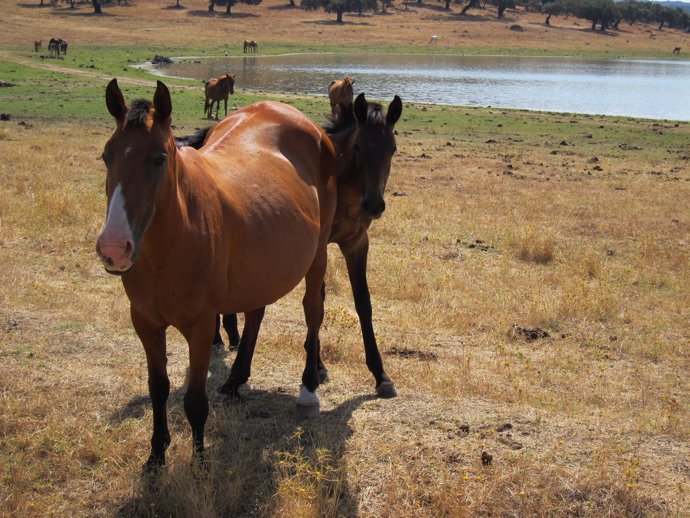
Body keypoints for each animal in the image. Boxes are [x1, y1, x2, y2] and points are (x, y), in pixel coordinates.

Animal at [96, 78, 336, 472]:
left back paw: (308, 389)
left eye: (159, 158)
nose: (114, 247)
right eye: (106, 156)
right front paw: (156, 455)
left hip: (317, 256)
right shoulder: (145, 322)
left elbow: (194, 400)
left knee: (313, 310)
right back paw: (236, 380)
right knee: (256, 313)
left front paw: (199, 462)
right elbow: (158, 388)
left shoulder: (201, 325)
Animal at [212, 93, 400, 402]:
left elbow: (363, 303)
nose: (374, 204)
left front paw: (380, 375)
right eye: (358, 146)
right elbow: (317, 300)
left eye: (392, 149)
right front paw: (318, 366)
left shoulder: (356, 243)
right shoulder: (318, 248)